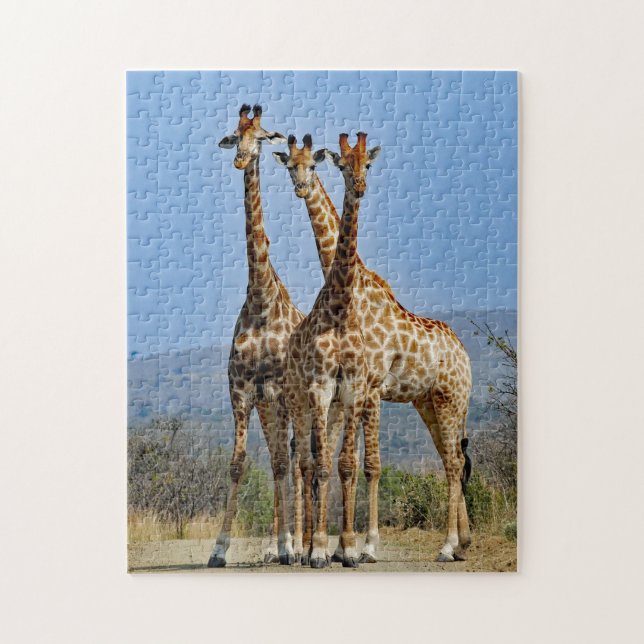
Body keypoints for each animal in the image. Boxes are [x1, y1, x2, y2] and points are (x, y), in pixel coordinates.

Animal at [275, 132, 473, 563]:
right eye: (289, 166)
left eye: (367, 164)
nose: (300, 188)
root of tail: (464, 353)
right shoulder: (350, 391)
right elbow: (340, 461)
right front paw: (337, 547)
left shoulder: (372, 386)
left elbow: (370, 465)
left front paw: (363, 546)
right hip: (429, 402)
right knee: (452, 457)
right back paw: (463, 542)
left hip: (451, 399)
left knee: (453, 462)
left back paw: (448, 545)